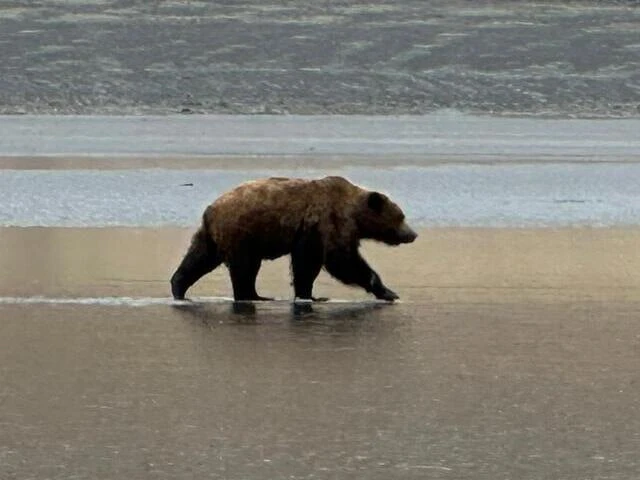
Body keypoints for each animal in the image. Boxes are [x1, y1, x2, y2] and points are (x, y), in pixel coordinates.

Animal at [170, 176, 417, 302]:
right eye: (401, 216)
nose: (413, 234)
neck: (355, 215)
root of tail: (210, 210)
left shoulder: (312, 232)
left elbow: (308, 264)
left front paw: (308, 295)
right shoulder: (328, 222)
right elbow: (340, 261)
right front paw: (387, 291)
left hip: (214, 235)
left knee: (199, 258)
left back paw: (178, 287)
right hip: (242, 231)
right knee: (244, 267)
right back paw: (251, 296)